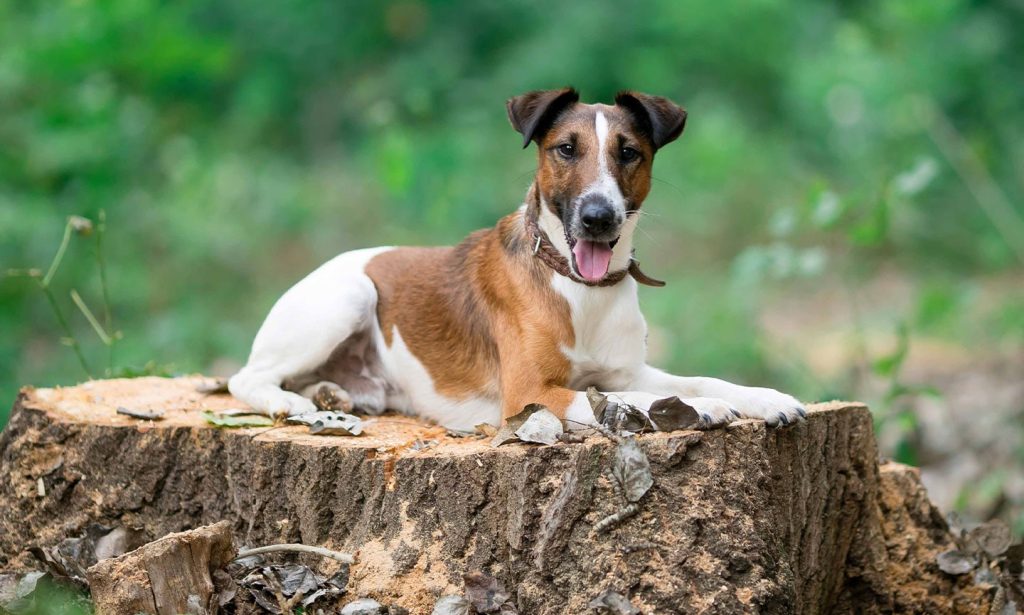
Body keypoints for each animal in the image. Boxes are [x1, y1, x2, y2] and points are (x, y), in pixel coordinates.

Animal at [226, 88, 806, 429]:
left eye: (629, 153)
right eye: (566, 149)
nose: (598, 217)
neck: (578, 288)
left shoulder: (628, 371)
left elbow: (700, 379)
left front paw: (764, 397)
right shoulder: (531, 392)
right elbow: (617, 400)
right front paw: (700, 410)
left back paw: (332, 393)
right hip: (349, 296)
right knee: (245, 379)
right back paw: (290, 402)